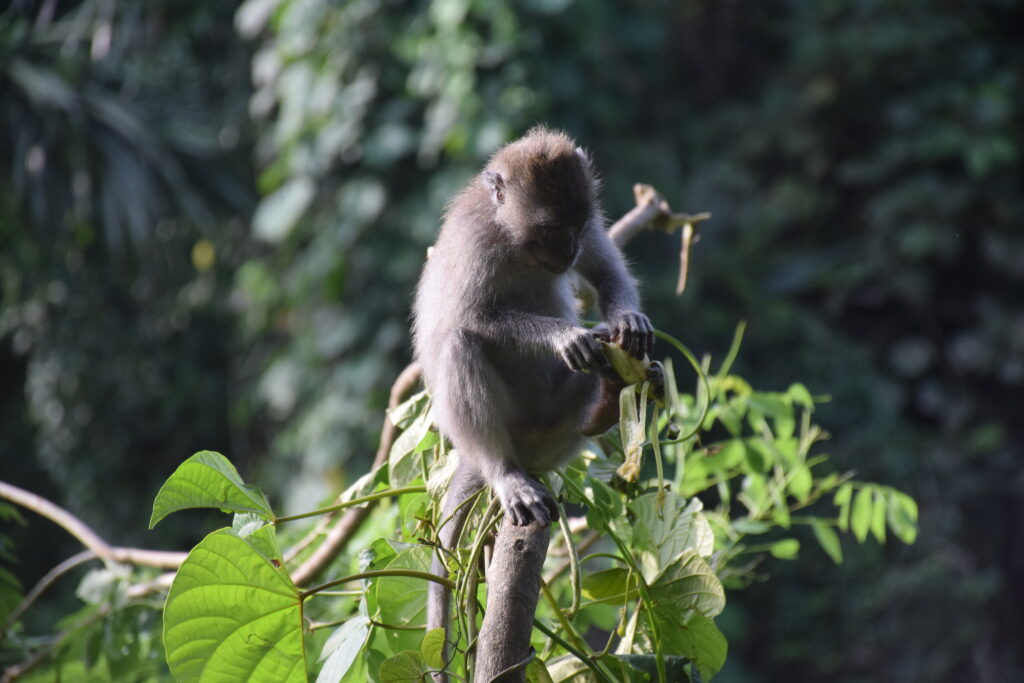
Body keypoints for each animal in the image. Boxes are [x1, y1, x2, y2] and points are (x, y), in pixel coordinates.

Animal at [412, 127, 654, 674]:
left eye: (577, 224)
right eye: (548, 230)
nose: (568, 248)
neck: (515, 242)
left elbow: (605, 270)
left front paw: (627, 321)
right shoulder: (477, 244)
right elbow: (472, 317)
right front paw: (565, 336)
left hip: (554, 431)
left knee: (592, 374)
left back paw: (606, 397)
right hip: (506, 432)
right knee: (460, 343)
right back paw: (507, 476)